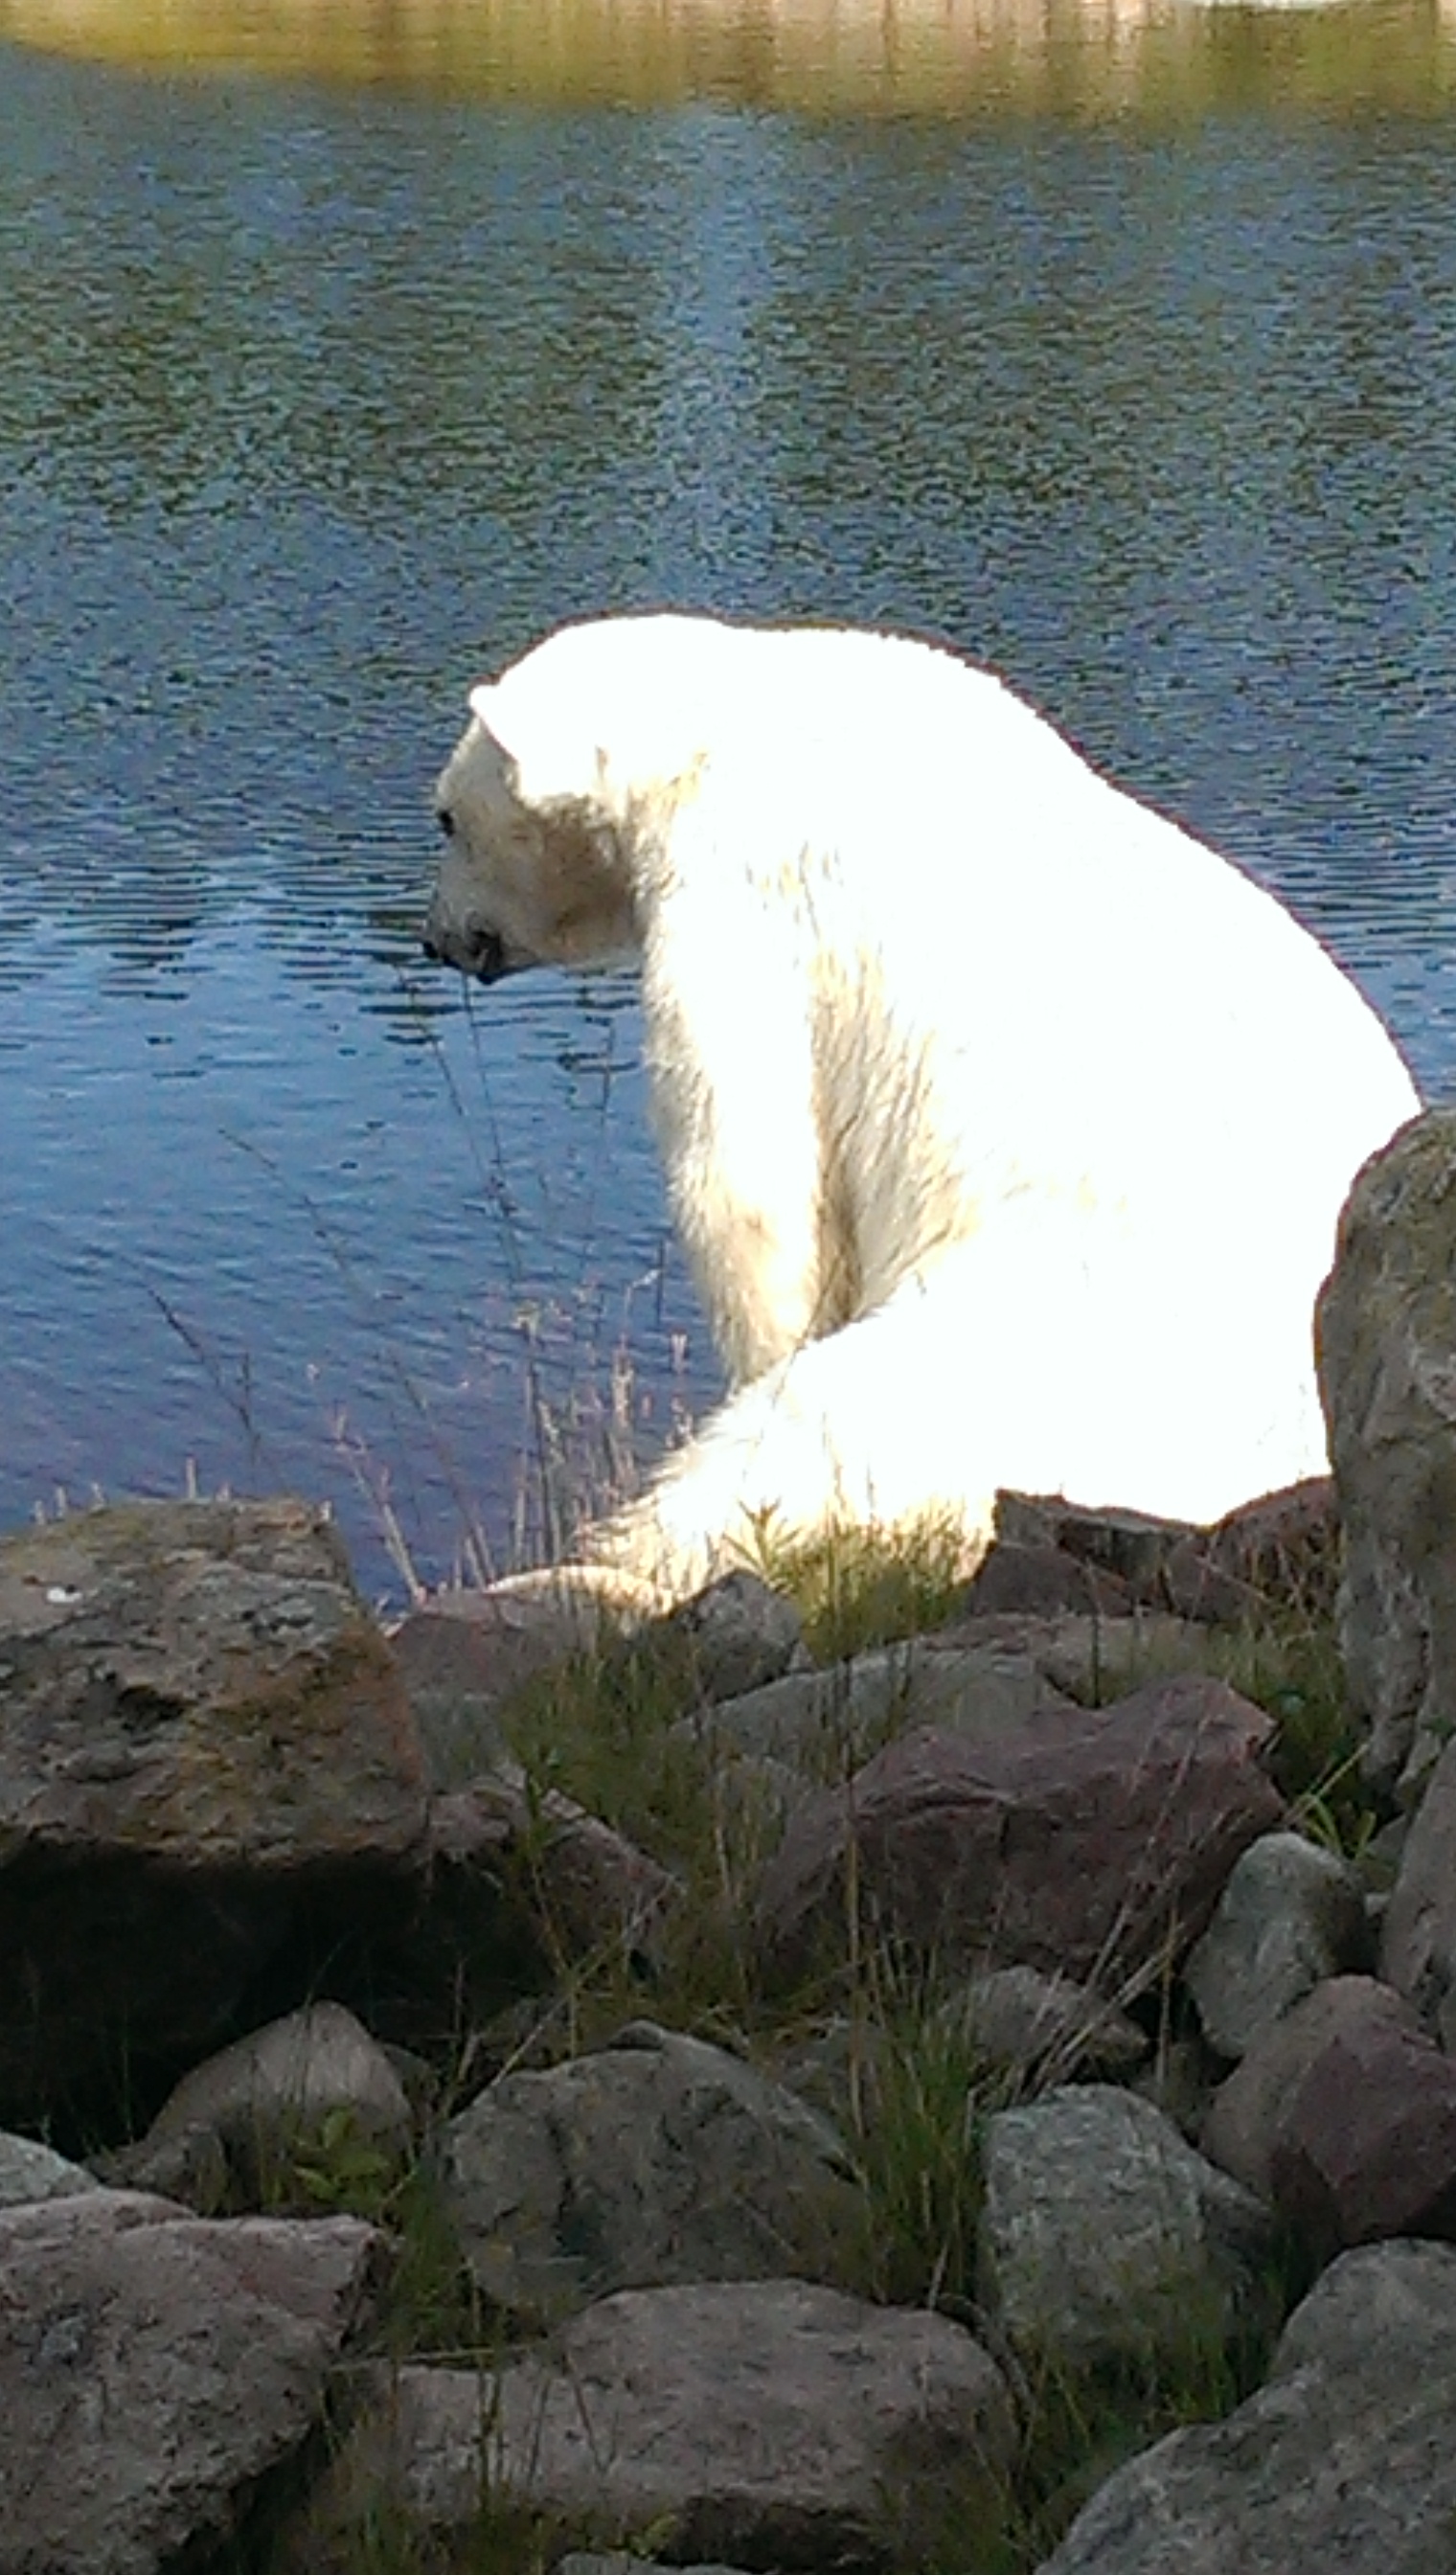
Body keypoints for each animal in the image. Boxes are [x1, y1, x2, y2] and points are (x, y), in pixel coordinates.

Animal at [425, 612, 1419, 1609]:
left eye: (445, 817)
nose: (436, 938)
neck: (734, 719)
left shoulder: (744, 903)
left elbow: (756, 1194)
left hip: (1067, 1341)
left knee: (834, 1434)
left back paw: (611, 1559)